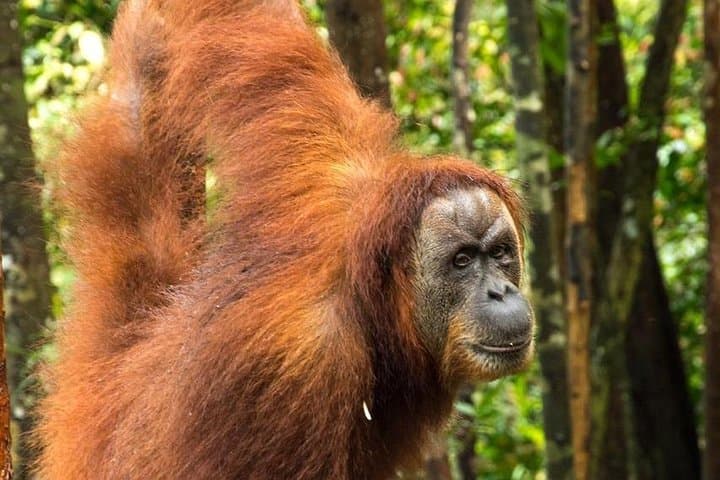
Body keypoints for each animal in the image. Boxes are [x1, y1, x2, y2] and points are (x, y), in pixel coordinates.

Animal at [35, 1, 533, 478]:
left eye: (500, 254)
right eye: (462, 260)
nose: (501, 291)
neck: (368, 300)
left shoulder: (319, 155)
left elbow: (258, 33)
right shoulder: (297, 373)